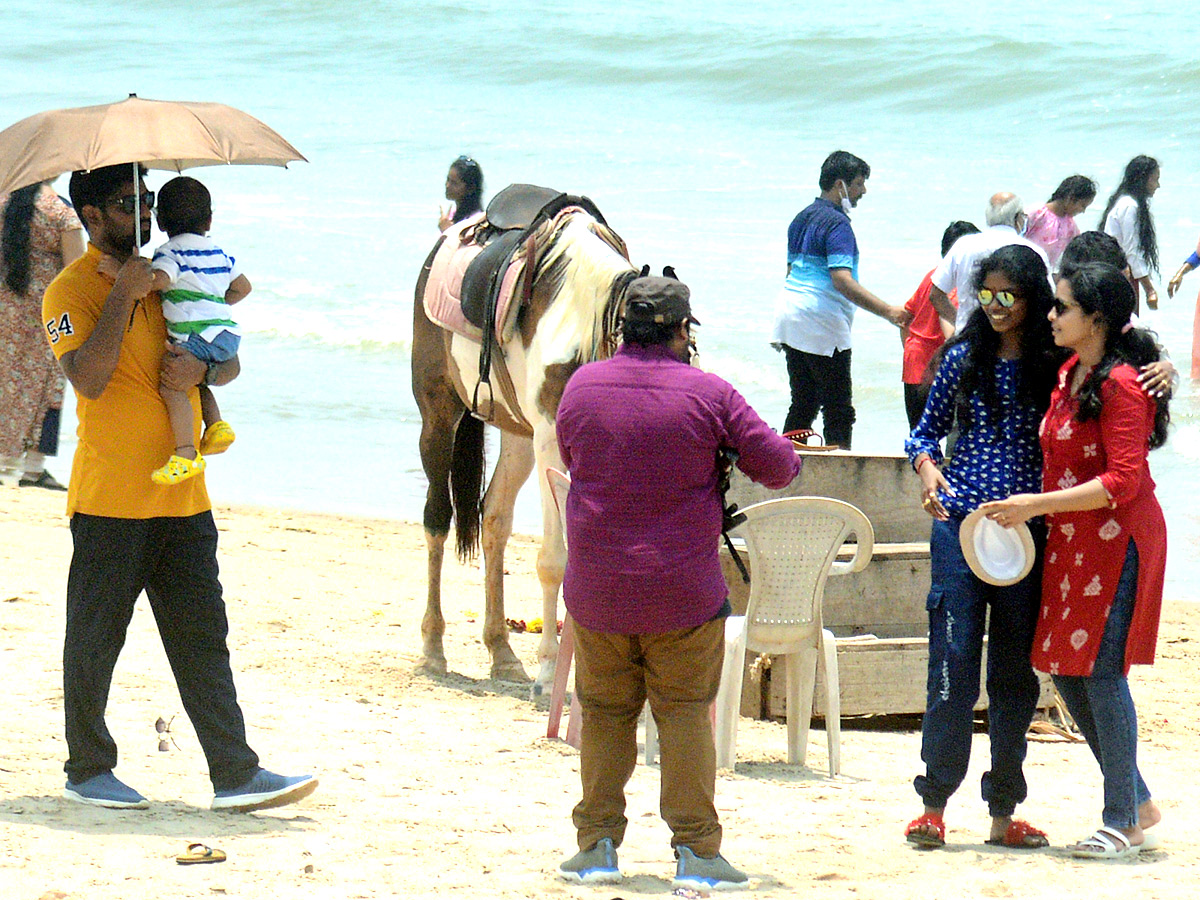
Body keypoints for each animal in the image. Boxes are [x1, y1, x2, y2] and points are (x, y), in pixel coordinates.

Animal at [410, 200, 638, 686]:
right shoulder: (551, 443)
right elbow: (555, 560)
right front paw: (549, 671)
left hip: (517, 433)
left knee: (494, 518)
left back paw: (502, 651)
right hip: (438, 414)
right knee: (437, 518)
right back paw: (433, 649)